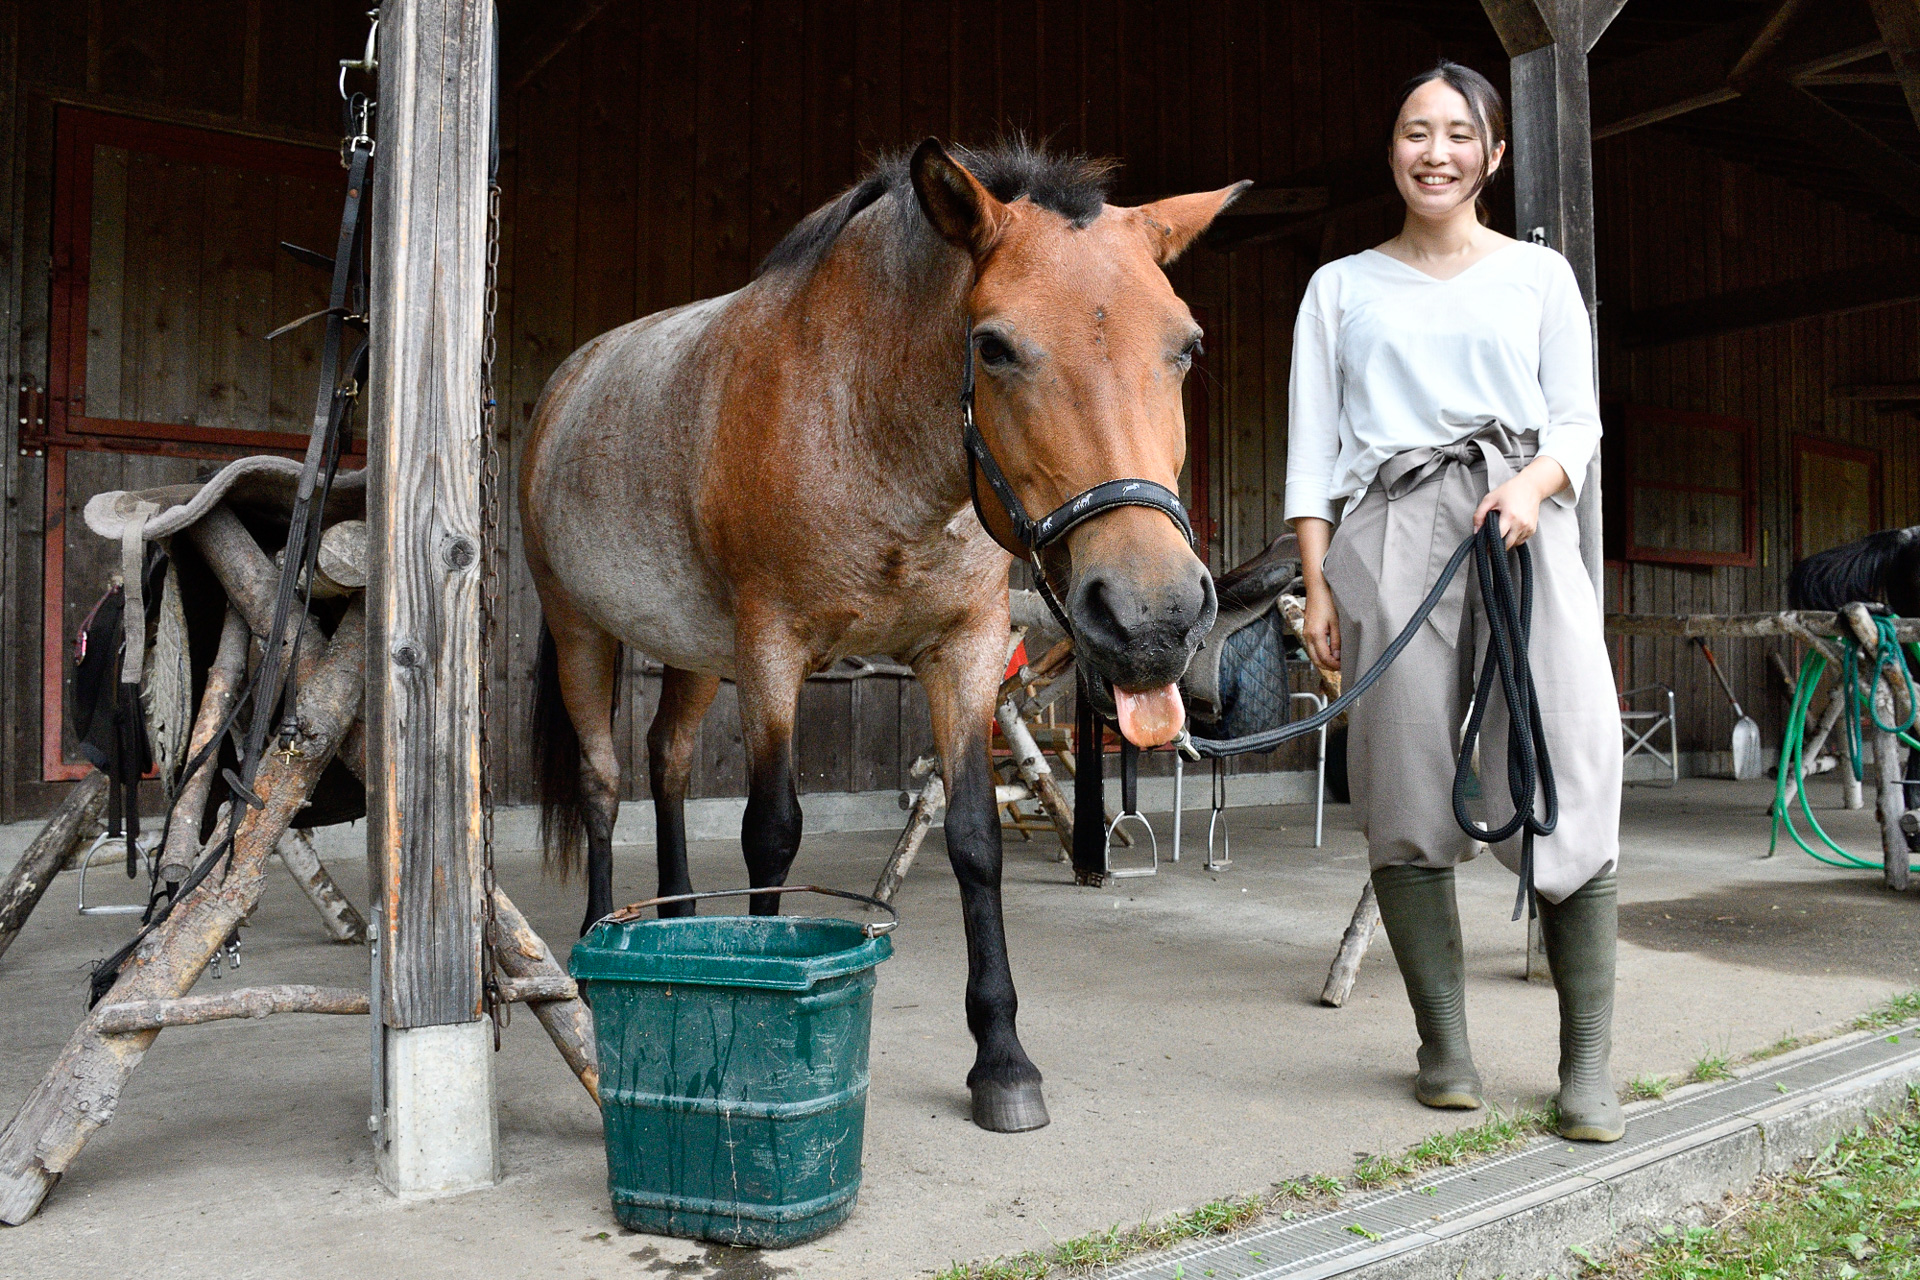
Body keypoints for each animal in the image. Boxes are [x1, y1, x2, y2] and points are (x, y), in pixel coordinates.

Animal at [519, 138, 1245, 1131]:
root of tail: (569, 385)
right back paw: (601, 951)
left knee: (666, 758)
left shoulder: (965, 653)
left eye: (1187, 345)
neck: (865, 429)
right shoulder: (772, 653)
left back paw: (675, 919)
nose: (1153, 618)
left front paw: (1002, 1059)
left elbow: (975, 835)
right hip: (582, 628)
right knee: (600, 782)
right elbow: (772, 832)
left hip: (693, 651)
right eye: (993, 346)